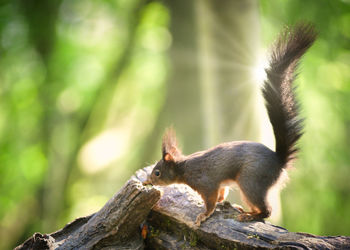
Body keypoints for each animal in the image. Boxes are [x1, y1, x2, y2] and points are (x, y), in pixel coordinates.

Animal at [147, 23, 318, 227]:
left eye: (157, 172)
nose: (148, 181)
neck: (184, 168)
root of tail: (279, 161)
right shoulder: (220, 184)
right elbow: (221, 193)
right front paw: (222, 202)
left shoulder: (205, 182)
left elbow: (210, 200)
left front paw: (203, 215)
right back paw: (244, 210)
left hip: (250, 181)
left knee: (266, 211)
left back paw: (249, 215)